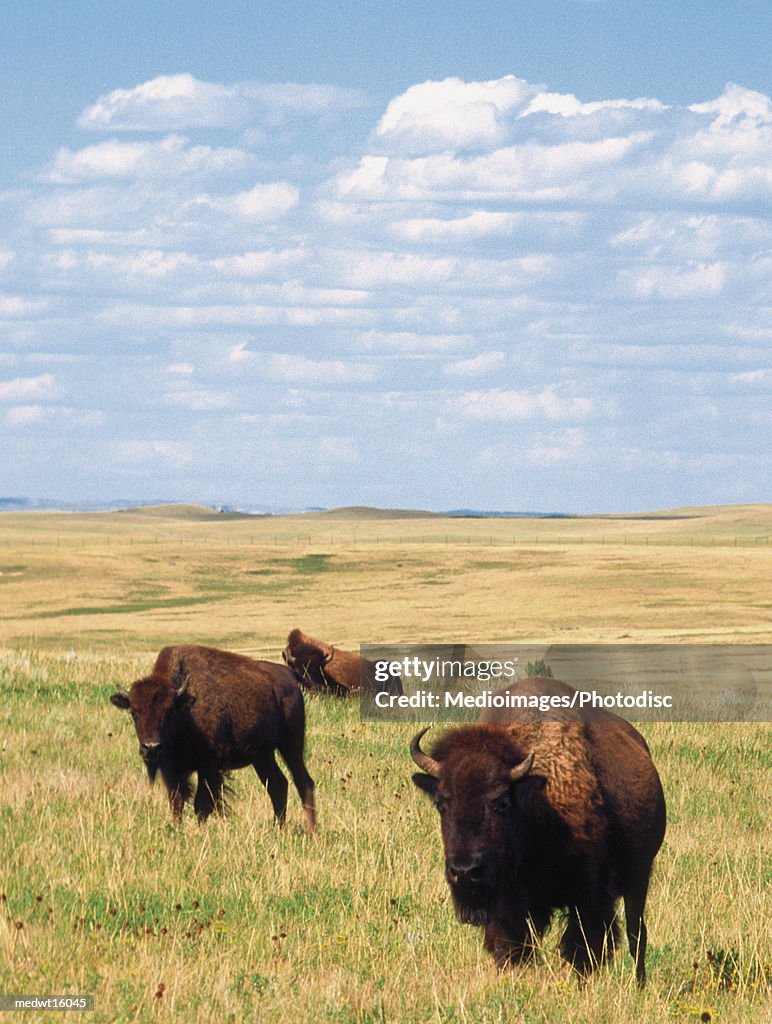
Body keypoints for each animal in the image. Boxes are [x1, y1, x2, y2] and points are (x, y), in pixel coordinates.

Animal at [108, 647, 313, 831]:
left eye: (168, 713)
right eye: (134, 713)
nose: (151, 747)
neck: (185, 708)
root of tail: (289, 676)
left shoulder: (208, 767)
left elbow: (201, 804)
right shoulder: (172, 771)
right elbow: (176, 803)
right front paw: (178, 830)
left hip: (290, 744)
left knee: (303, 782)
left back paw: (312, 831)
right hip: (263, 756)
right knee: (278, 785)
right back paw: (278, 828)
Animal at [409, 688, 663, 983]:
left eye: (501, 803)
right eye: (441, 803)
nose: (464, 871)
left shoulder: (589, 897)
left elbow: (584, 949)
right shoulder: (507, 907)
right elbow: (509, 947)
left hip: (639, 878)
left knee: (637, 936)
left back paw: (639, 983)